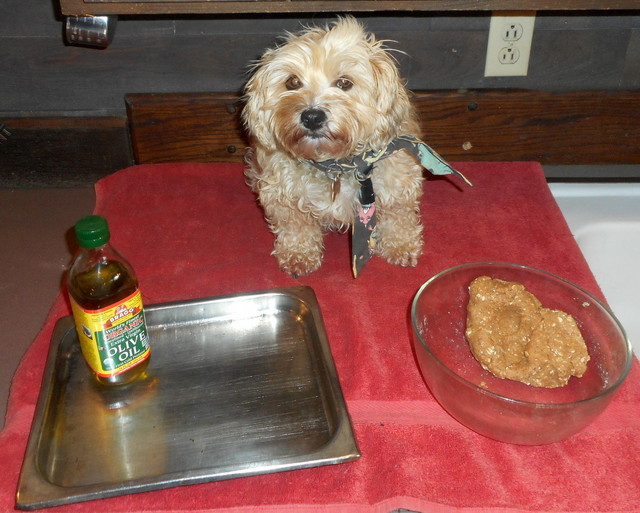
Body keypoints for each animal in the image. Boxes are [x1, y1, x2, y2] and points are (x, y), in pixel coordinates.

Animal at [244, 17, 424, 276]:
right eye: (292, 82)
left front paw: (401, 245)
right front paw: (298, 254)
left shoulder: (397, 184)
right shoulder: (282, 194)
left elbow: (398, 217)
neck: (336, 164)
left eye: (344, 83)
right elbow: (296, 226)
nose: (312, 117)